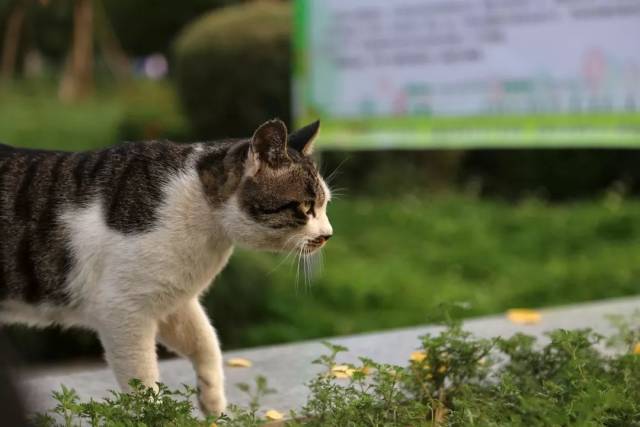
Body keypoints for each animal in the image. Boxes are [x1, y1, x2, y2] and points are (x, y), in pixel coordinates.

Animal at [0, 118, 332, 416]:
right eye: (306, 207)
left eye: (325, 204)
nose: (328, 234)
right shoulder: (123, 310)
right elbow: (143, 383)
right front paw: (157, 416)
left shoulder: (172, 298)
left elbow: (206, 341)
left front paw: (213, 402)